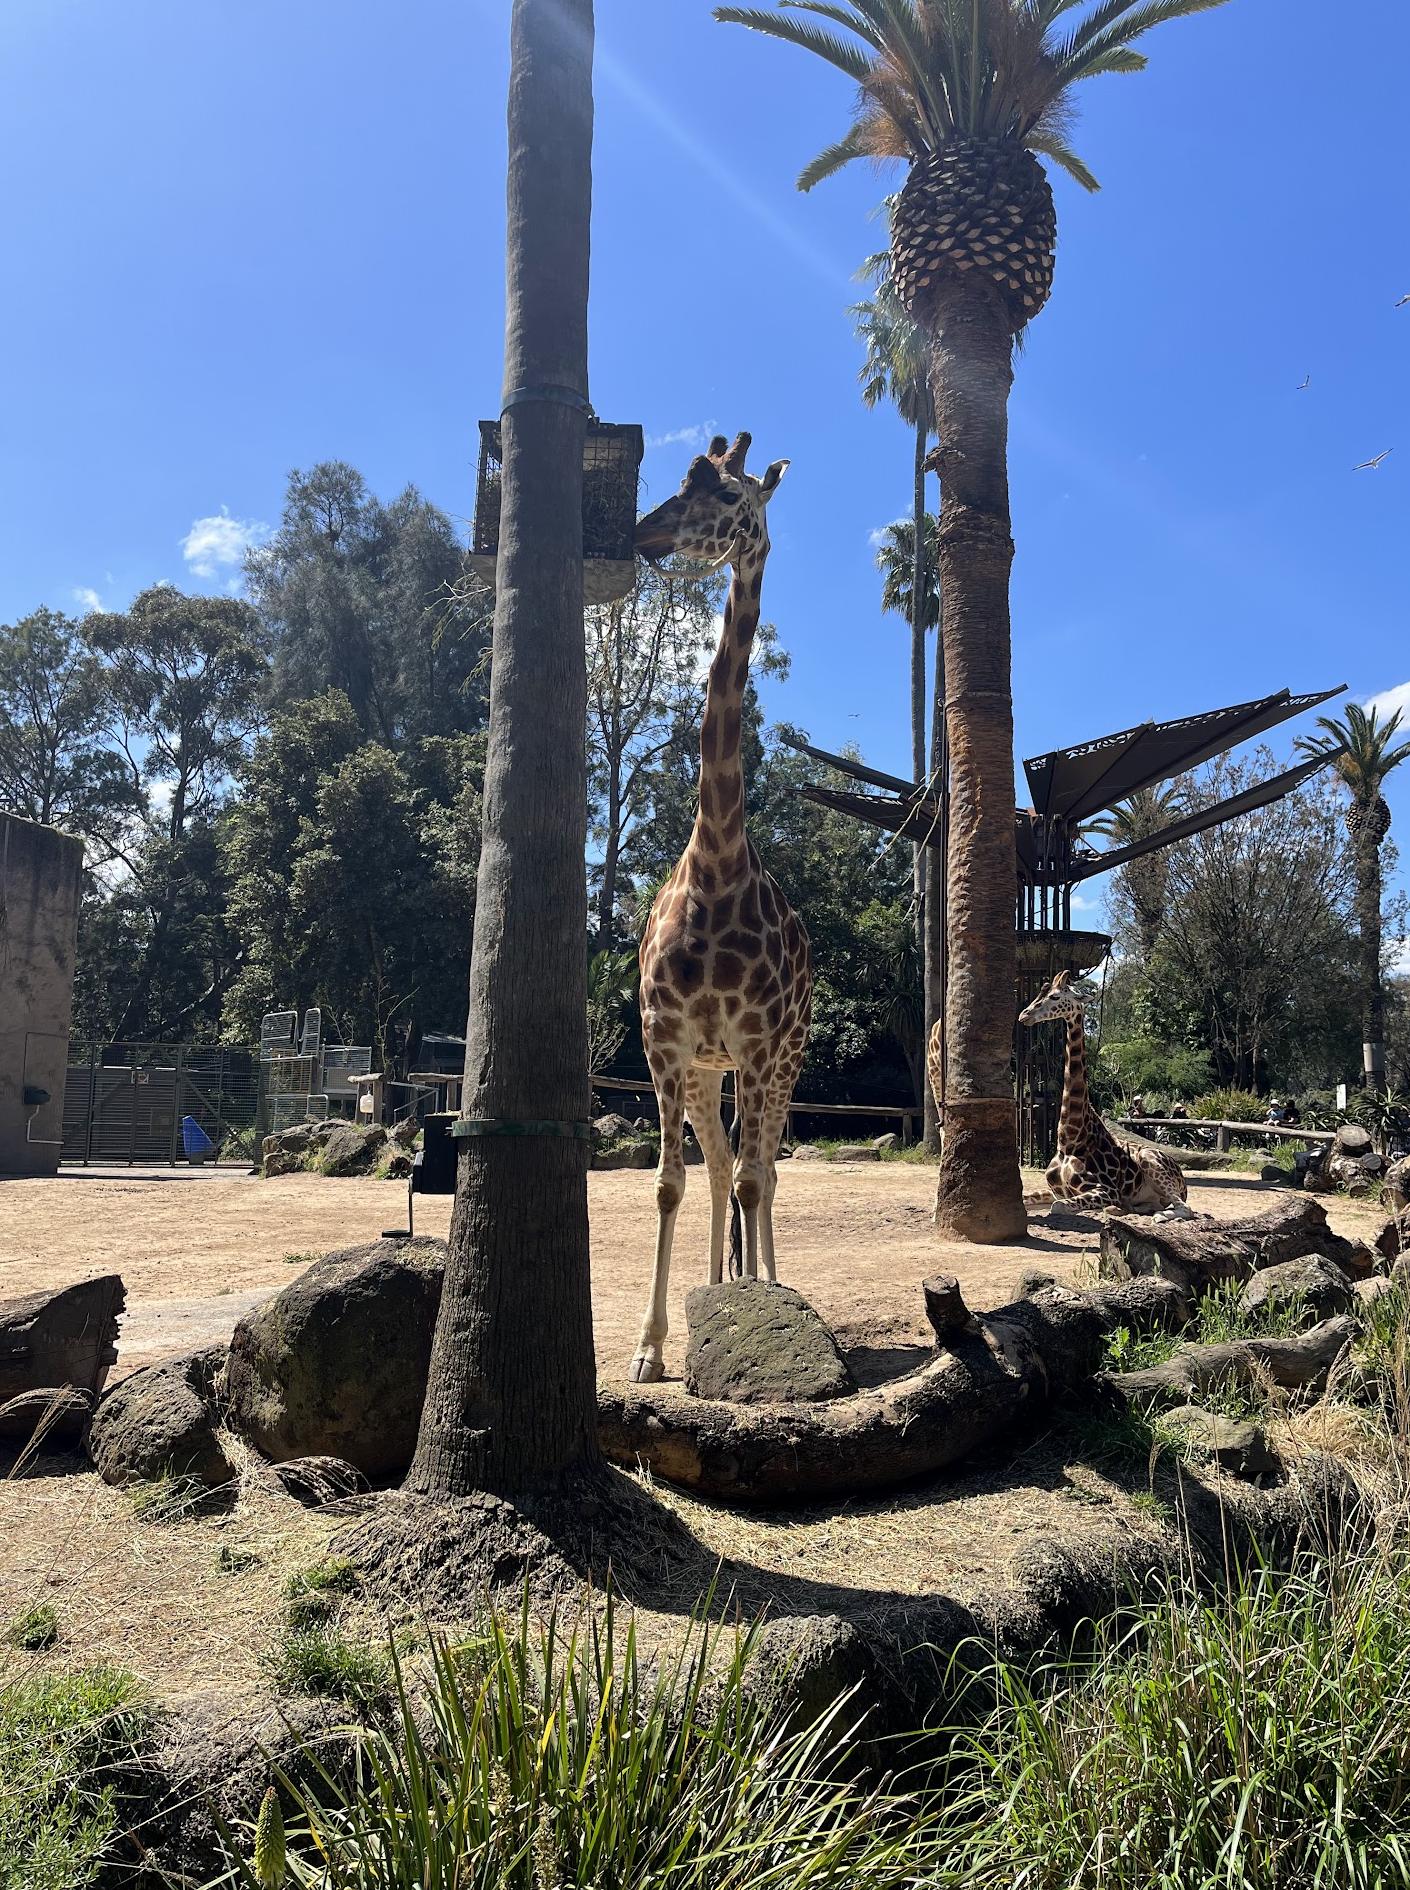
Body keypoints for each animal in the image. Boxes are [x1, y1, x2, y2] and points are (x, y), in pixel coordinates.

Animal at [1013, 967, 1186, 1217]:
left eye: (1055, 996)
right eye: (1039, 993)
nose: (1024, 1015)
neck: (1069, 1141)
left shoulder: (1105, 1189)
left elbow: (1058, 1208)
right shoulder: (1055, 1191)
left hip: (1150, 1160)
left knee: (1183, 1208)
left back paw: (1152, 1216)